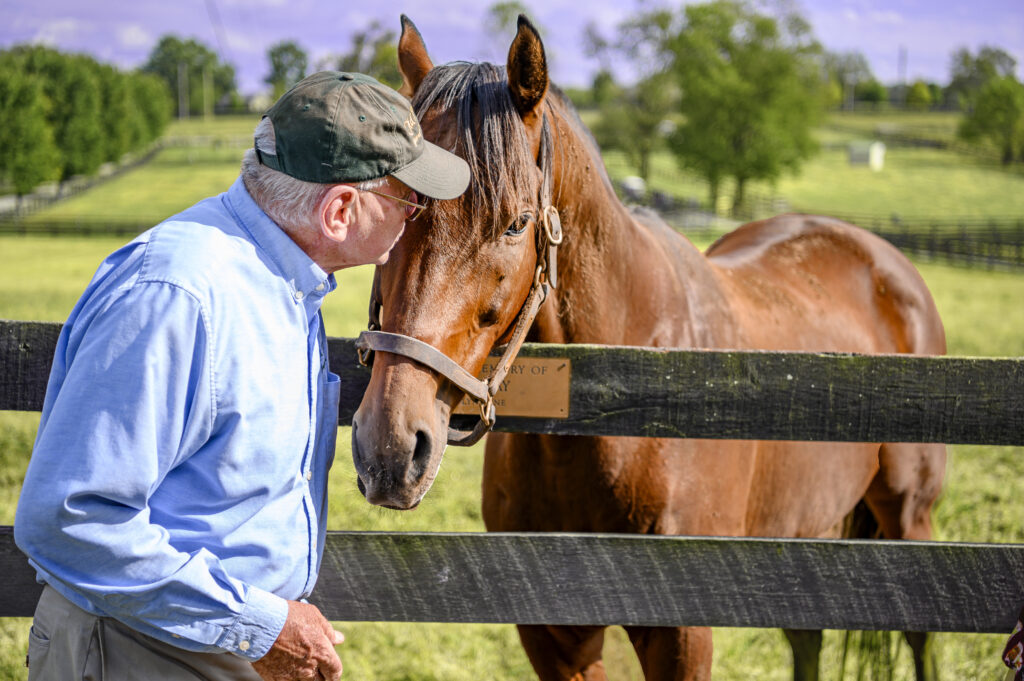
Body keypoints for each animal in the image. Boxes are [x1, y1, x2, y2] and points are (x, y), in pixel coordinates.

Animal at [350, 15, 947, 681]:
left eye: (515, 223)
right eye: (394, 208)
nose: (390, 447)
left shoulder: (680, 632)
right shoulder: (553, 634)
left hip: (908, 519)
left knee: (919, 636)